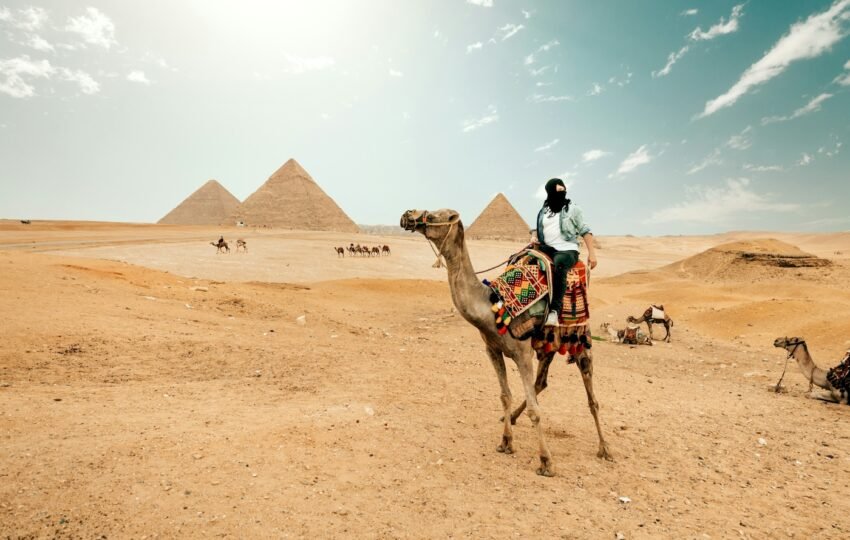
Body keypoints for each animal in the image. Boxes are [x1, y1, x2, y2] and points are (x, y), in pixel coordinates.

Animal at [400, 208, 611, 476]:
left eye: (439, 214)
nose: (407, 215)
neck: (491, 306)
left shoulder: (522, 353)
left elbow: (535, 410)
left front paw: (546, 462)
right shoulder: (493, 350)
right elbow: (505, 395)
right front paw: (506, 442)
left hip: (581, 339)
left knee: (591, 396)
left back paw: (605, 448)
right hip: (548, 344)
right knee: (541, 382)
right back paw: (511, 418)